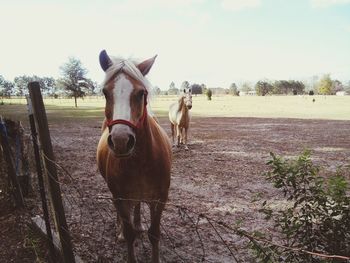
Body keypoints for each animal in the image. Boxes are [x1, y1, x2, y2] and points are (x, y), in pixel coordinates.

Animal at [95, 50, 172, 263]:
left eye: (141, 93)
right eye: (105, 93)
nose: (121, 140)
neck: (142, 162)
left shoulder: (160, 199)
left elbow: (154, 234)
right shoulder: (120, 197)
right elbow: (130, 234)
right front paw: (125, 232)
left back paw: (137, 222)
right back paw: (121, 229)